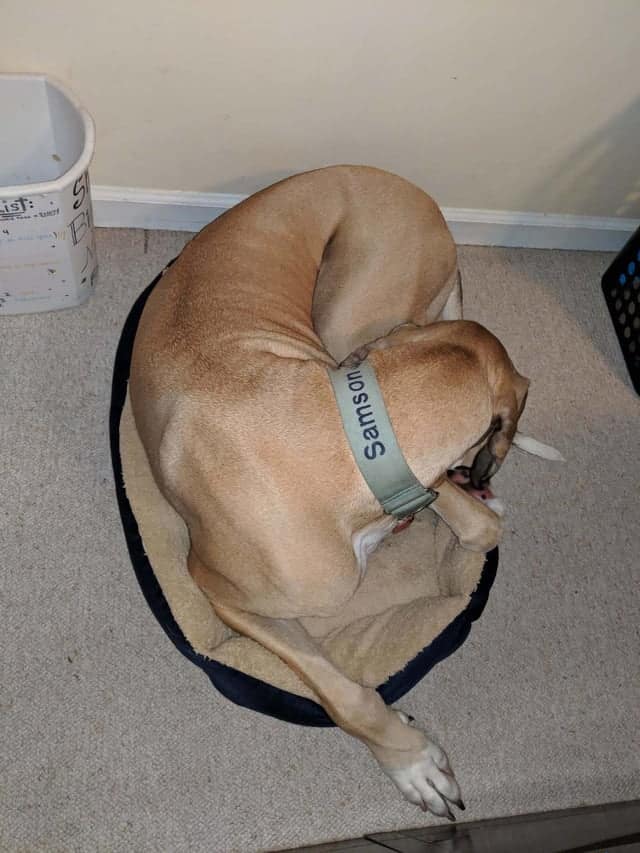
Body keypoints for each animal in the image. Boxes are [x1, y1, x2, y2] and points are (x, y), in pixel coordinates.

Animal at [129, 165, 528, 812]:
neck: (353, 435)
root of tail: (423, 198)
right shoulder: (220, 589)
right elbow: (347, 697)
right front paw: (413, 763)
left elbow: (480, 525)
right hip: (344, 315)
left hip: (348, 314)